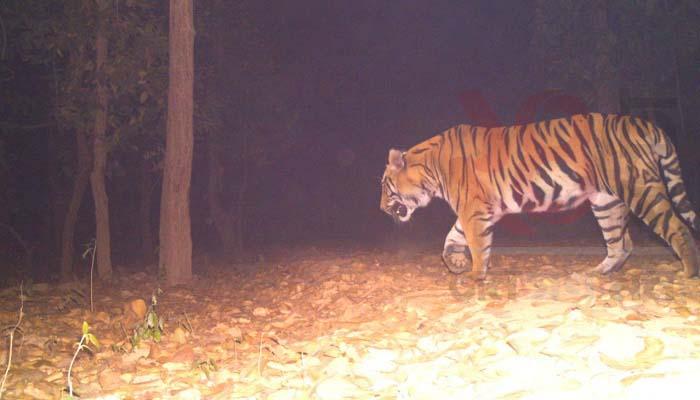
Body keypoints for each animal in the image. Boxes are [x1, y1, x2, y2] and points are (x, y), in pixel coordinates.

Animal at [382, 111, 700, 282]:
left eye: (385, 186)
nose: (382, 209)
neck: (431, 170)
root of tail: (645, 124)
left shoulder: (474, 210)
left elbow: (476, 244)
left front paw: (474, 275)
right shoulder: (479, 210)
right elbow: (451, 238)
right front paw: (456, 263)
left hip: (640, 189)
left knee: (677, 228)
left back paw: (688, 272)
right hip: (605, 201)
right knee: (621, 243)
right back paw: (597, 272)